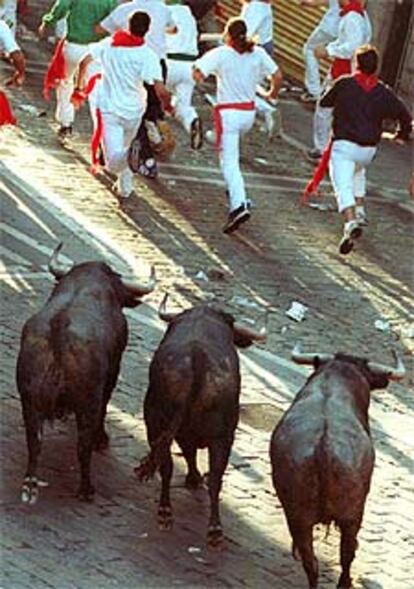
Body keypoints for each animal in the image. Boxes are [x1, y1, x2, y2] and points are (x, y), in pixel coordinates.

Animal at [15, 241, 155, 504]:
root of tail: (58, 330)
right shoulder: (112, 372)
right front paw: (102, 439)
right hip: (87, 400)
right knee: (83, 445)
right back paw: (86, 488)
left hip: (29, 398)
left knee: (34, 441)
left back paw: (30, 483)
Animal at [136, 300, 266, 548]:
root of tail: (198, 358)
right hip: (221, 436)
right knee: (212, 476)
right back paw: (212, 527)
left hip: (158, 420)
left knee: (169, 464)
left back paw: (167, 511)